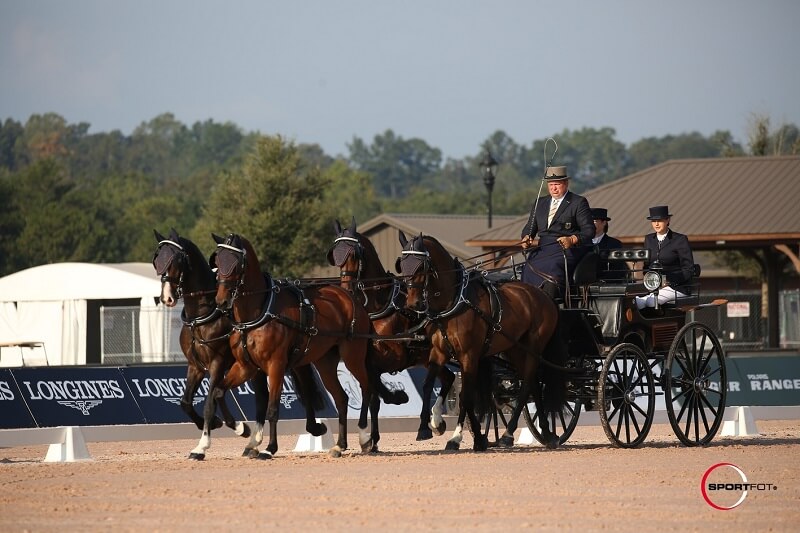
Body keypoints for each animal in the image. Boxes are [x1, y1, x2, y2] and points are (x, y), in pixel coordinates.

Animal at [212, 233, 376, 458]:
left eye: (236, 264)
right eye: (217, 262)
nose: (221, 301)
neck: (260, 310)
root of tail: (350, 298)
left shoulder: (276, 365)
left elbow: (272, 409)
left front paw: (270, 448)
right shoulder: (246, 367)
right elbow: (219, 391)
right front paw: (240, 428)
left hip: (353, 356)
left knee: (367, 388)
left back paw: (365, 438)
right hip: (324, 362)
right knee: (341, 398)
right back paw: (340, 445)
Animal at [326, 218, 456, 442]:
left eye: (354, 254)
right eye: (335, 255)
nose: (347, 289)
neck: (380, 305)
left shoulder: (393, 357)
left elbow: (376, 391)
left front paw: (398, 397)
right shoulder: (368, 362)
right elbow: (373, 397)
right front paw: (373, 438)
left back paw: (427, 426)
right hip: (431, 357)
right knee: (448, 378)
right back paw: (437, 422)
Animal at [396, 232, 564, 448]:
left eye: (421, 266)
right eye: (402, 264)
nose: (412, 304)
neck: (454, 302)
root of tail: (542, 293)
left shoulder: (469, 356)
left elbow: (466, 397)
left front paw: (456, 437)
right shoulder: (439, 353)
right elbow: (427, 386)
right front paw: (430, 425)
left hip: (534, 347)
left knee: (526, 385)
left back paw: (509, 434)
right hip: (515, 349)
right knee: (534, 384)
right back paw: (545, 432)